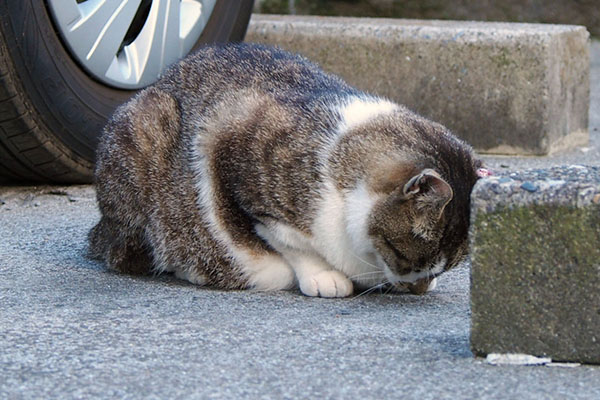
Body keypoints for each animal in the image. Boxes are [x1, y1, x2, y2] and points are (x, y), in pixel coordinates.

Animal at [88, 43, 482, 296]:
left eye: (447, 267)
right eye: (402, 255)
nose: (420, 289)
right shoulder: (229, 147)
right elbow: (288, 240)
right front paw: (322, 274)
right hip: (145, 129)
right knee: (130, 253)